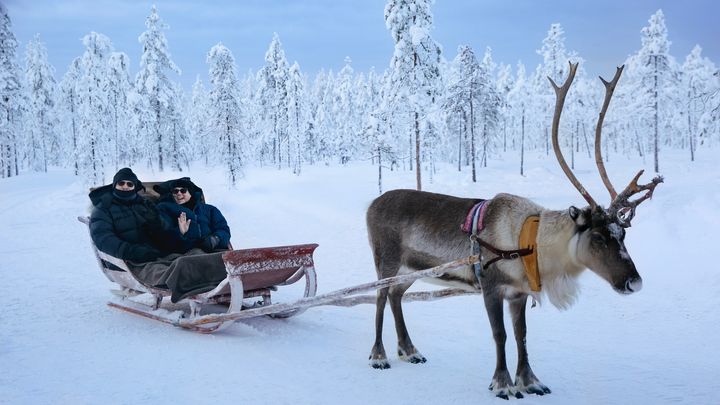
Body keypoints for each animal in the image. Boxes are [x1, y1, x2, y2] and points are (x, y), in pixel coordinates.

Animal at [365, 62, 662, 399]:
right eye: (598, 237)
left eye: (622, 234)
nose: (634, 282)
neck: (530, 244)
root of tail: (371, 204)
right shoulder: (492, 287)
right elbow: (501, 335)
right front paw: (503, 383)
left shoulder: (519, 294)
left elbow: (522, 335)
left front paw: (530, 380)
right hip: (386, 261)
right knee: (380, 297)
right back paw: (378, 355)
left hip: (411, 270)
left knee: (396, 296)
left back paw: (409, 349)